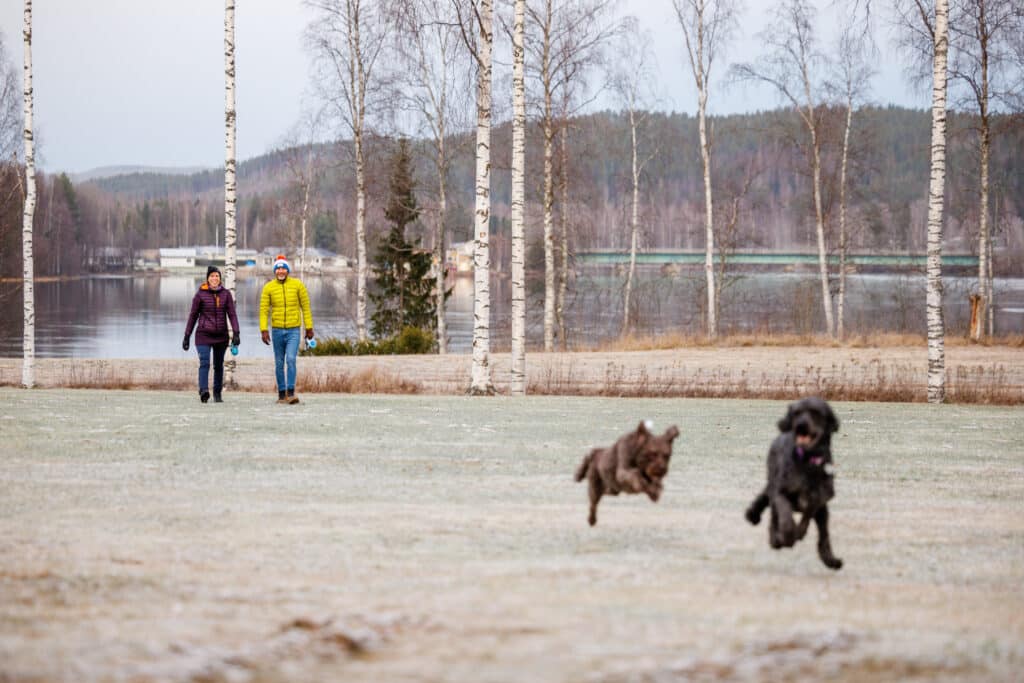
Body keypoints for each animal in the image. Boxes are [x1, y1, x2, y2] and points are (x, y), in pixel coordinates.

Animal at [745, 397, 839, 569]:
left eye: (816, 412)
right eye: (797, 413)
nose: (801, 425)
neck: (808, 460)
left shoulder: (821, 498)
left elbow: (809, 512)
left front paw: (799, 532)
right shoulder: (781, 492)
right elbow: (785, 514)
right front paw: (788, 535)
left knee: (823, 535)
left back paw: (831, 560)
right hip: (773, 482)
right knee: (772, 513)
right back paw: (774, 537)